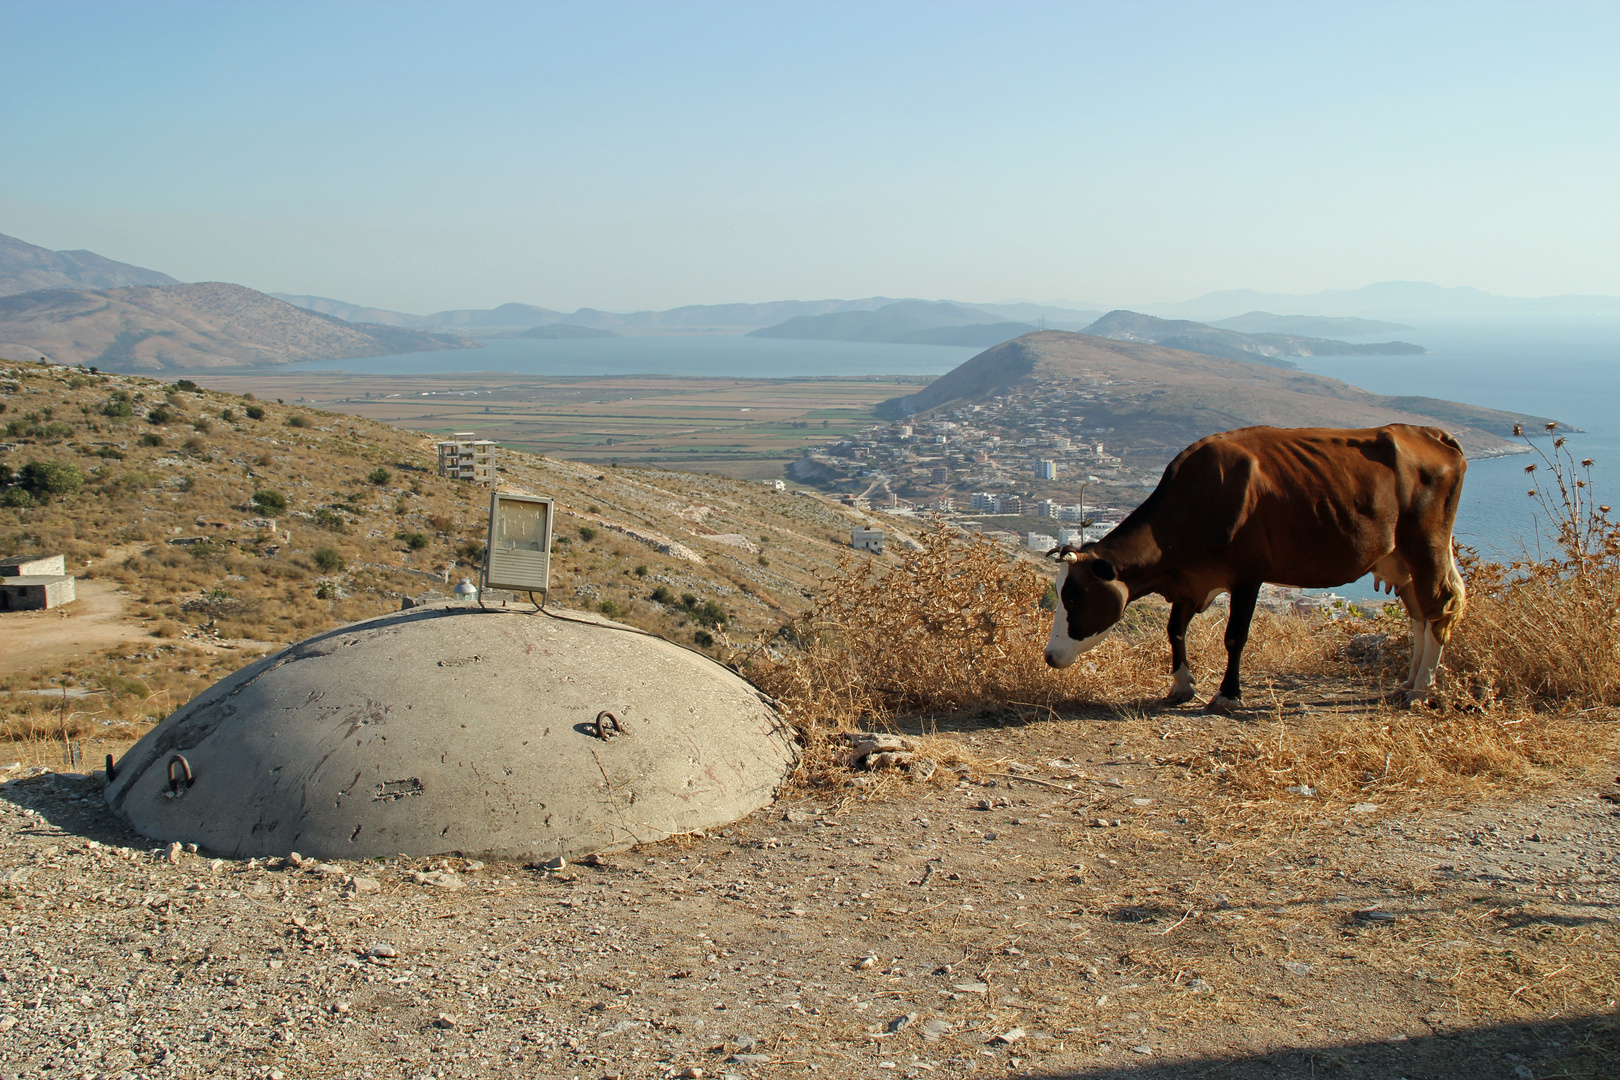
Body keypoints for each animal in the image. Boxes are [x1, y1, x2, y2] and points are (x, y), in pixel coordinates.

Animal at [1043, 427, 1477, 712]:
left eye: (1074, 597)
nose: (1049, 656)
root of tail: (1433, 434)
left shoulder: (1247, 576)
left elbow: (1235, 637)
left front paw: (1227, 694)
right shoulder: (1191, 579)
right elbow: (1175, 630)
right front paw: (1181, 684)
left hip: (1426, 545)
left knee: (1438, 606)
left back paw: (1422, 689)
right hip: (1401, 560)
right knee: (1419, 613)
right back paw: (1409, 682)